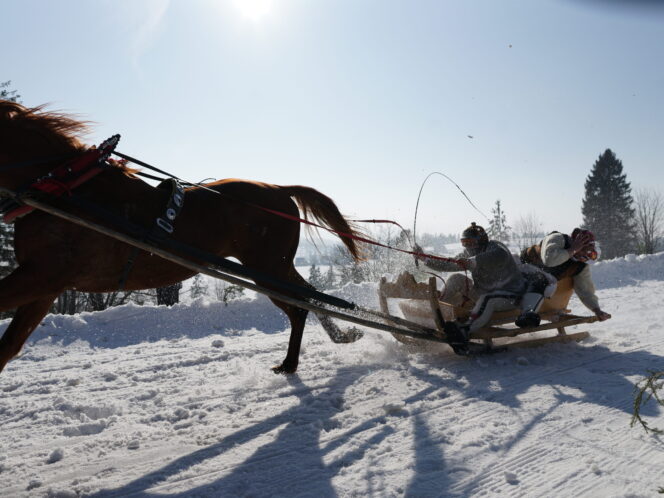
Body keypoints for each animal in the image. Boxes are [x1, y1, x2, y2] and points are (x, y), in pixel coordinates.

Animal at [0, 100, 364, 374]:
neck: (67, 189)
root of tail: (280, 189)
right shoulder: (46, 284)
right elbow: (9, 346)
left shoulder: (44, 275)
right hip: (274, 266)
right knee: (307, 296)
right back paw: (337, 337)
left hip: (267, 267)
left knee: (299, 305)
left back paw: (292, 362)